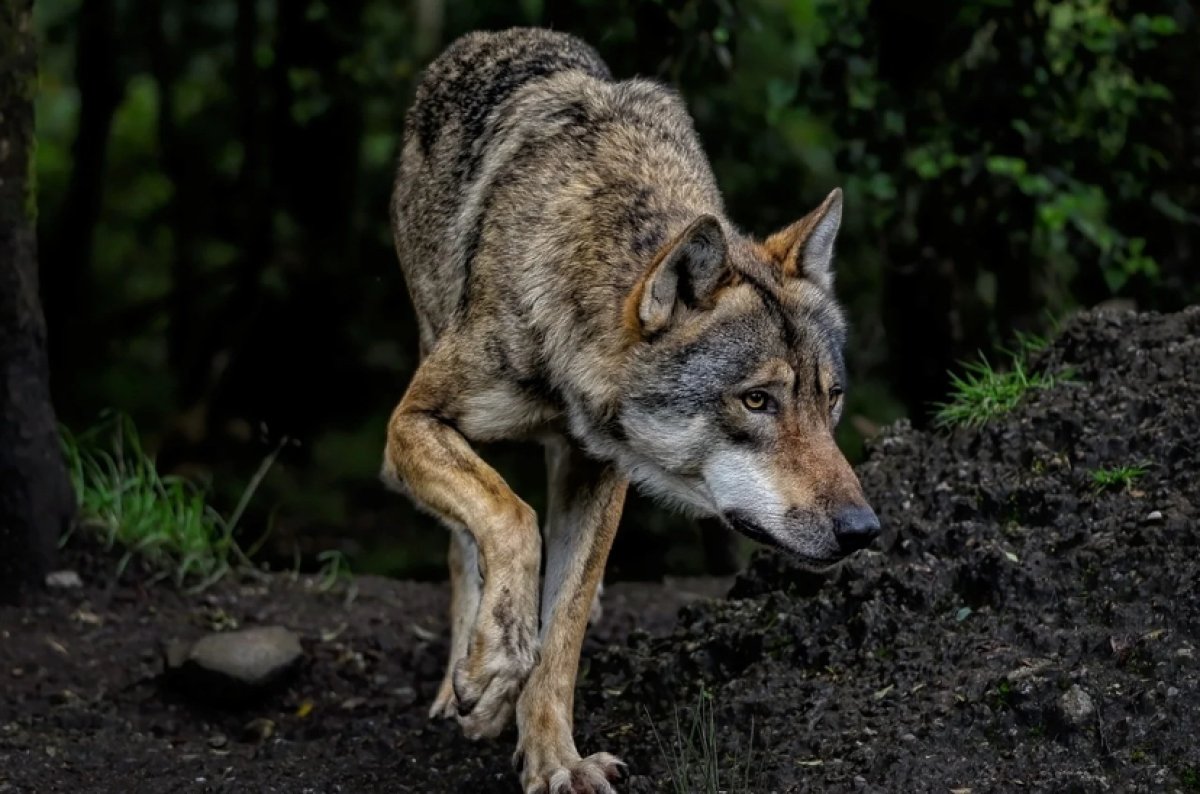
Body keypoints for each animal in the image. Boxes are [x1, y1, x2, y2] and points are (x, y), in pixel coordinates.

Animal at [384, 26, 883, 794]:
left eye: (829, 400)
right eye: (758, 400)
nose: (864, 530)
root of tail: (489, 38)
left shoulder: (599, 471)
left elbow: (563, 627)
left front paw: (555, 760)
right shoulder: (410, 424)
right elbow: (510, 519)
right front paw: (493, 665)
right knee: (464, 538)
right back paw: (462, 680)